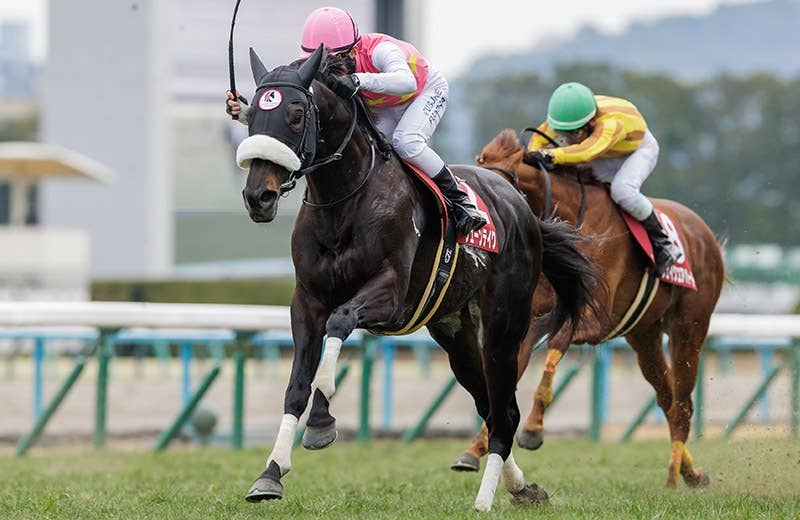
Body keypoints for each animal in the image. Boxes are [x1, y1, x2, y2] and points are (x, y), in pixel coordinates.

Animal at [235, 47, 599, 511]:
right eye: (251, 115)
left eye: (297, 114)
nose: (258, 196)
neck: (345, 201)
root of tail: (521, 207)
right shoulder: (307, 301)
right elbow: (296, 385)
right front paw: (270, 473)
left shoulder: (390, 293)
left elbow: (340, 320)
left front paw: (321, 419)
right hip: (455, 333)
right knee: (489, 405)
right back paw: (521, 487)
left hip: (504, 326)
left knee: (506, 412)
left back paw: (485, 500)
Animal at [451, 129, 725, 490]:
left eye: (498, 182)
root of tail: (705, 233)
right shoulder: (531, 318)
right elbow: (507, 374)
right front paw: (475, 448)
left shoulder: (595, 321)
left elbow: (554, 347)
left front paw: (533, 429)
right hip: (644, 335)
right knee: (666, 398)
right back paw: (690, 472)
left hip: (689, 329)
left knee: (682, 404)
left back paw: (672, 478)